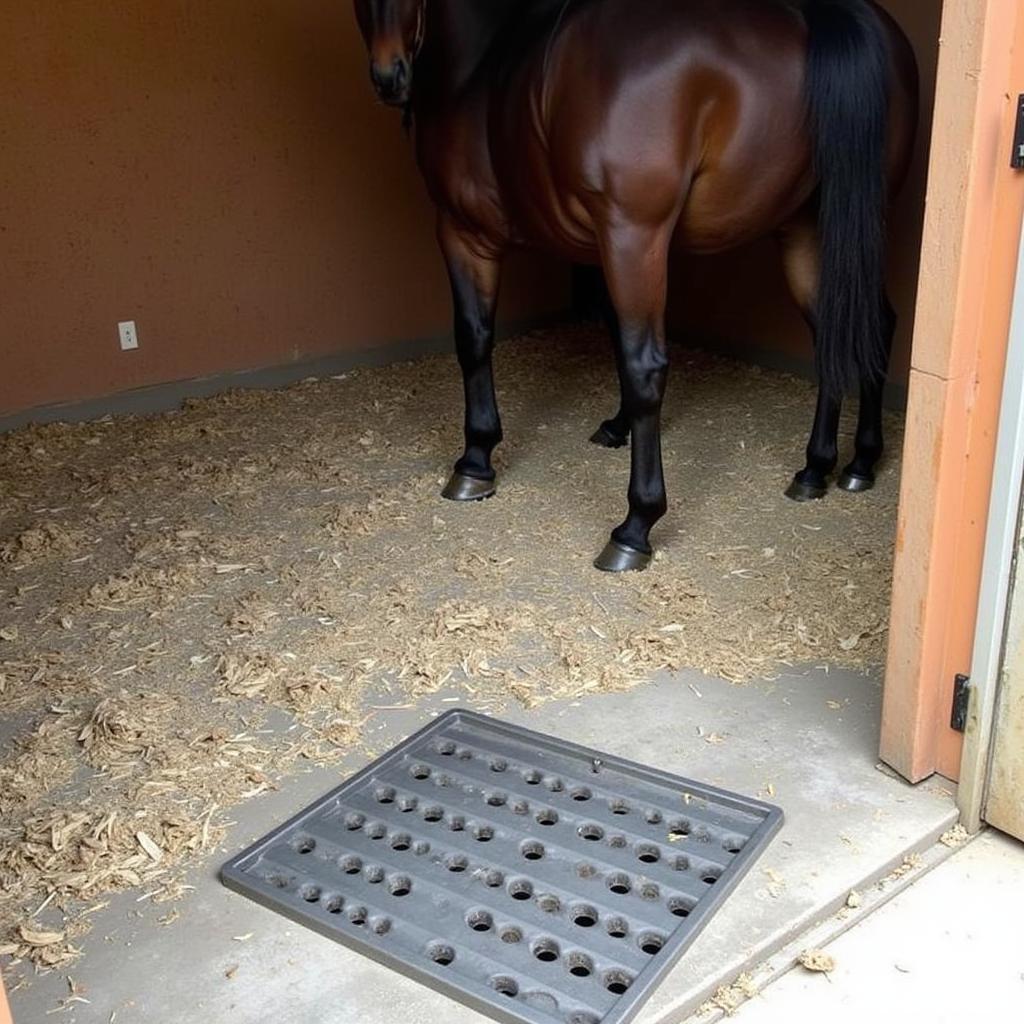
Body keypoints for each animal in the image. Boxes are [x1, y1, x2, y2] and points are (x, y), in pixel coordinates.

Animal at [354, 0, 921, 573]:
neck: (481, 65)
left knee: (651, 366)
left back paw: (635, 528)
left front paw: (475, 460)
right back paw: (839, 464)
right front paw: (617, 425)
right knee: (853, 330)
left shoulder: (467, 235)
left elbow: (476, 340)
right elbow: (611, 334)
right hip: (813, 232)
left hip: (640, 235)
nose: (389, 77)